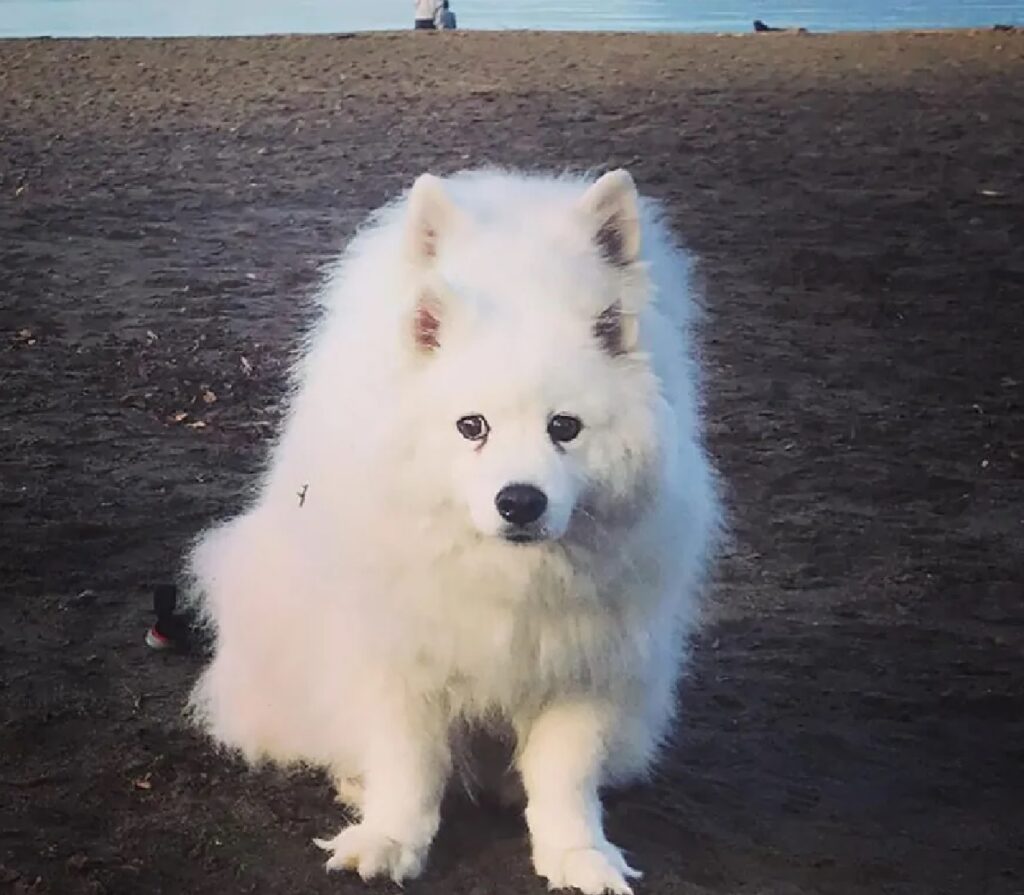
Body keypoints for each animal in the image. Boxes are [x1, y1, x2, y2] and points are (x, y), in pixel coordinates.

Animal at [190, 165, 720, 884]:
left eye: (565, 428)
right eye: (473, 427)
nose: (520, 501)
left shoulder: (587, 660)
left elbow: (566, 775)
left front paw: (578, 854)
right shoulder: (399, 649)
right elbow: (408, 761)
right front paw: (388, 838)